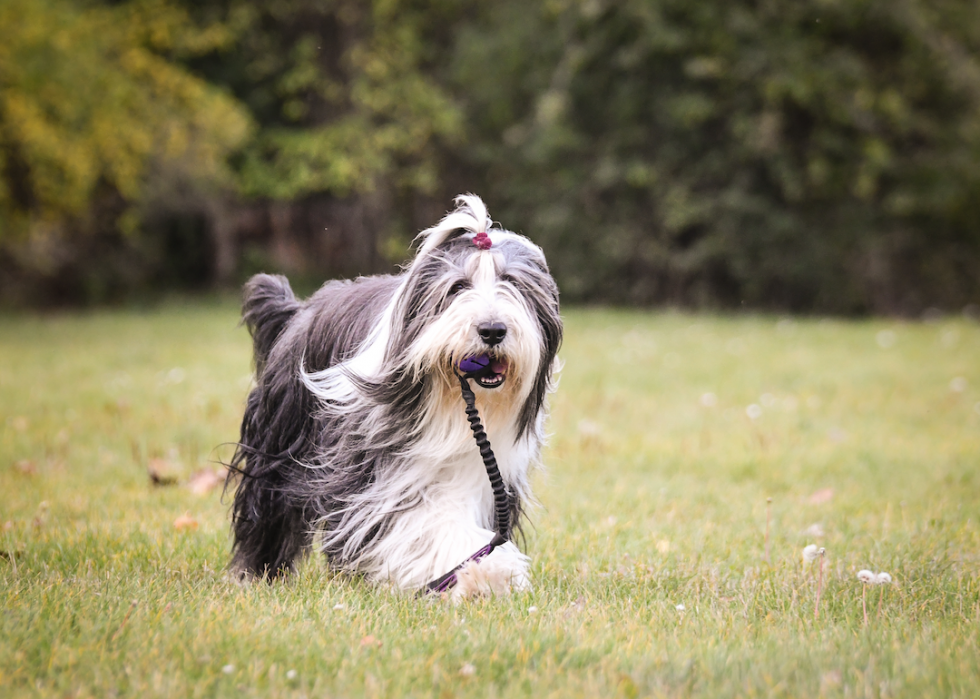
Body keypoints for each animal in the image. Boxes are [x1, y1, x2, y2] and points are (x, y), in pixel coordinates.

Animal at [228, 194, 560, 600]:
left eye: (511, 283)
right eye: (457, 287)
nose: (492, 330)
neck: (451, 400)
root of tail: (300, 311)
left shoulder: (480, 468)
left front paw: (483, 571)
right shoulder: (371, 471)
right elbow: (412, 521)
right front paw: (488, 569)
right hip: (281, 439)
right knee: (267, 508)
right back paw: (258, 573)